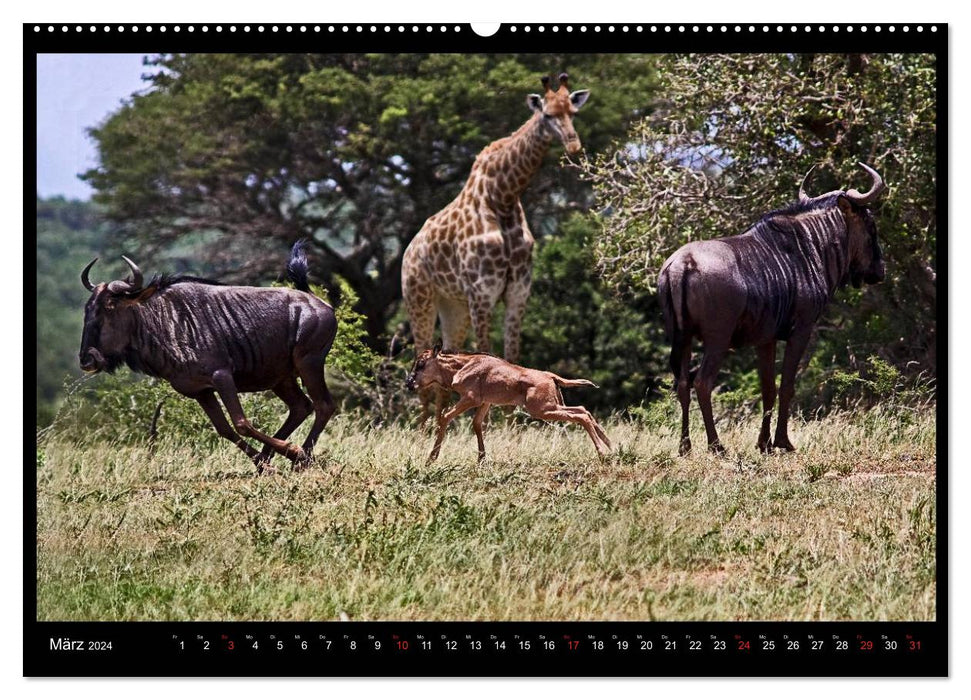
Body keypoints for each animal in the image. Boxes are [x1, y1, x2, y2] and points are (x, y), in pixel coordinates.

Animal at [398, 74, 588, 418]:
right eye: (547, 115)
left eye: (572, 112)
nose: (573, 145)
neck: (503, 197)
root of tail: (409, 250)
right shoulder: (482, 292)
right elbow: (486, 352)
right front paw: (490, 416)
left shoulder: (517, 291)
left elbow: (511, 355)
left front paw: (512, 419)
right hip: (419, 298)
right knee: (423, 351)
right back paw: (424, 424)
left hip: (453, 306)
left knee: (445, 352)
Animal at [406, 346, 612, 464]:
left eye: (421, 363)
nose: (409, 383)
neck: (461, 367)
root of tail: (551, 377)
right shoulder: (485, 402)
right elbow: (477, 424)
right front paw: (481, 459)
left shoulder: (470, 399)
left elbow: (445, 417)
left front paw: (431, 458)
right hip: (550, 407)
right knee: (583, 410)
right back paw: (611, 445)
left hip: (542, 410)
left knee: (581, 415)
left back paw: (602, 453)